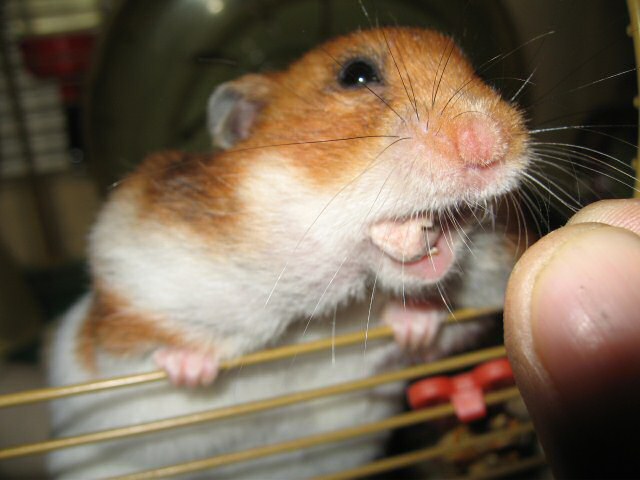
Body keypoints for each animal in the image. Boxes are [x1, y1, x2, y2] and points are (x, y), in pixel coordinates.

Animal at [47, 27, 529, 479]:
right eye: (356, 74)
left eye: (479, 72)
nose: (492, 144)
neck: (345, 297)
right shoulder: (128, 275)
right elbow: (133, 349)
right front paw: (189, 367)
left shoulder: (478, 306)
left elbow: (445, 329)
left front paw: (414, 322)